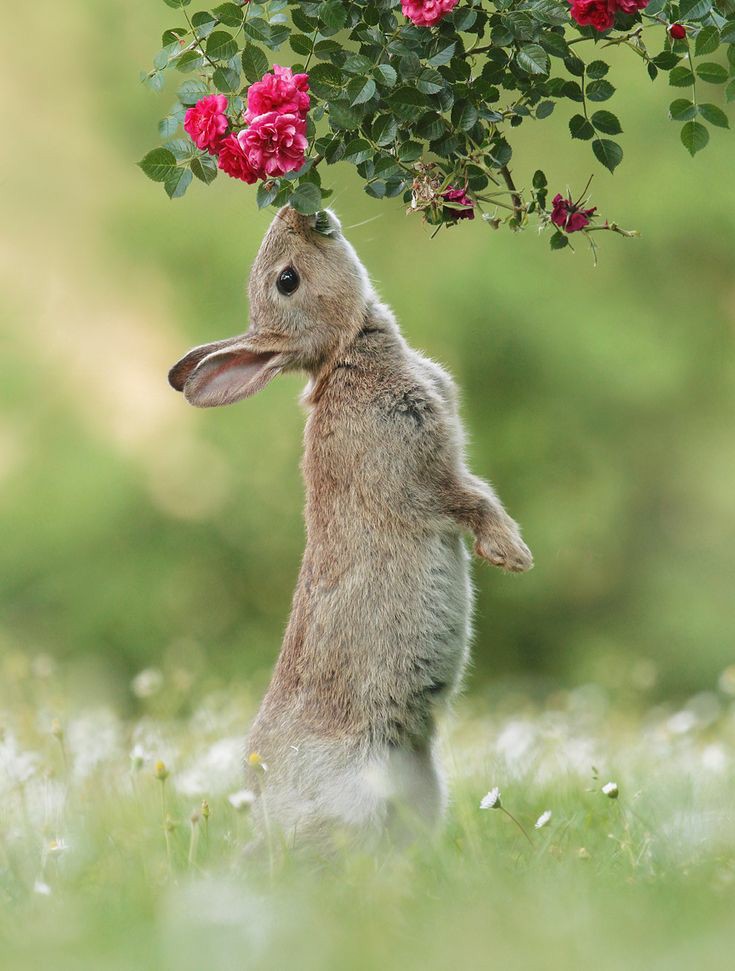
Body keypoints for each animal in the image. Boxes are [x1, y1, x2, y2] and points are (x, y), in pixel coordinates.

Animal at [169, 205, 533, 850]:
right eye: (287, 280)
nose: (298, 211)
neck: (344, 354)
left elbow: (476, 493)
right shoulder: (421, 475)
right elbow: (472, 502)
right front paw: (512, 555)